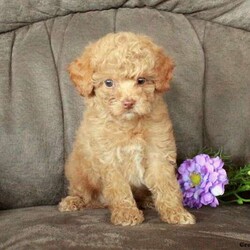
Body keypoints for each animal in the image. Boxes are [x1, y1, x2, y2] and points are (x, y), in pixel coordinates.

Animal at [59, 32, 195, 226]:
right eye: (108, 83)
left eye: (141, 80)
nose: (129, 102)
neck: (129, 124)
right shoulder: (109, 159)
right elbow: (119, 188)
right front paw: (126, 213)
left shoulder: (158, 151)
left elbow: (166, 183)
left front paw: (175, 212)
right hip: (78, 171)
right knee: (82, 193)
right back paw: (72, 201)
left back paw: (147, 200)